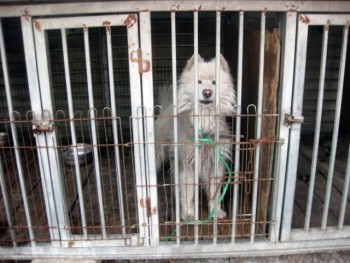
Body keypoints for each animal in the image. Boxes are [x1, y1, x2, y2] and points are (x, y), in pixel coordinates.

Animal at [155, 54, 235, 221]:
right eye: (198, 81)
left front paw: (216, 211)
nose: (207, 92)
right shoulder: (187, 165)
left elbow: (214, 193)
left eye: (214, 82)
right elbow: (188, 193)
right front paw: (188, 214)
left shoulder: (215, 165)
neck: (204, 129)